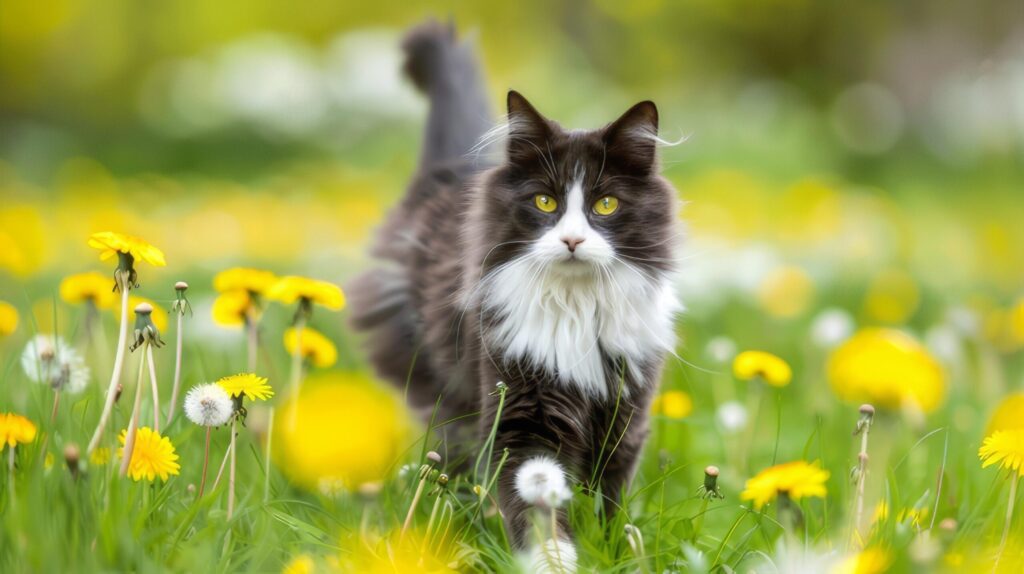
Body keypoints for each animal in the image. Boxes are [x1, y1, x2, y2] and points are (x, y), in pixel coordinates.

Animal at [348, 19, 684, 568]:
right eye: (545, 202)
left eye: (606, 204)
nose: (572, 240)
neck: (576, 308)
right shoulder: (522, 417)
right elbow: (536, 505)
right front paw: (555, 562)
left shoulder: (623, 417)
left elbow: (608, 503)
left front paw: (612, 552)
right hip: (447, 392)